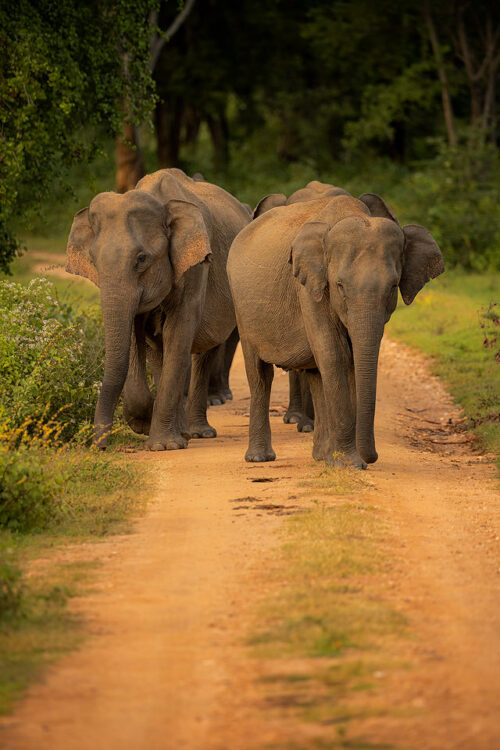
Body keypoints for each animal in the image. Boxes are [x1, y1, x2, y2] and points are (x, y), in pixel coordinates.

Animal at [66, 169, 250, 452]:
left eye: (141, 259)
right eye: (93, 261)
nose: (100, 447)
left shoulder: (195, 268)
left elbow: (178, 333)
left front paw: (163, 445)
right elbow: (135, 334)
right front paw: (144, 425)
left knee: (203, 350)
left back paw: (197, 433)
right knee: (159, 352)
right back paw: (183, 431)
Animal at [229, 189, 444, 470]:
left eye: (393, 286)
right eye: (340, 285)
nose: (371, 457)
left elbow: (348, 359)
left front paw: (341, 461)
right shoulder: (308, 287)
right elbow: (335, 354)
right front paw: (350, 464)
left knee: (315, 372)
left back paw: (321, 456)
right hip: (242, 310)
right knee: (260, 375)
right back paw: (260, 458)